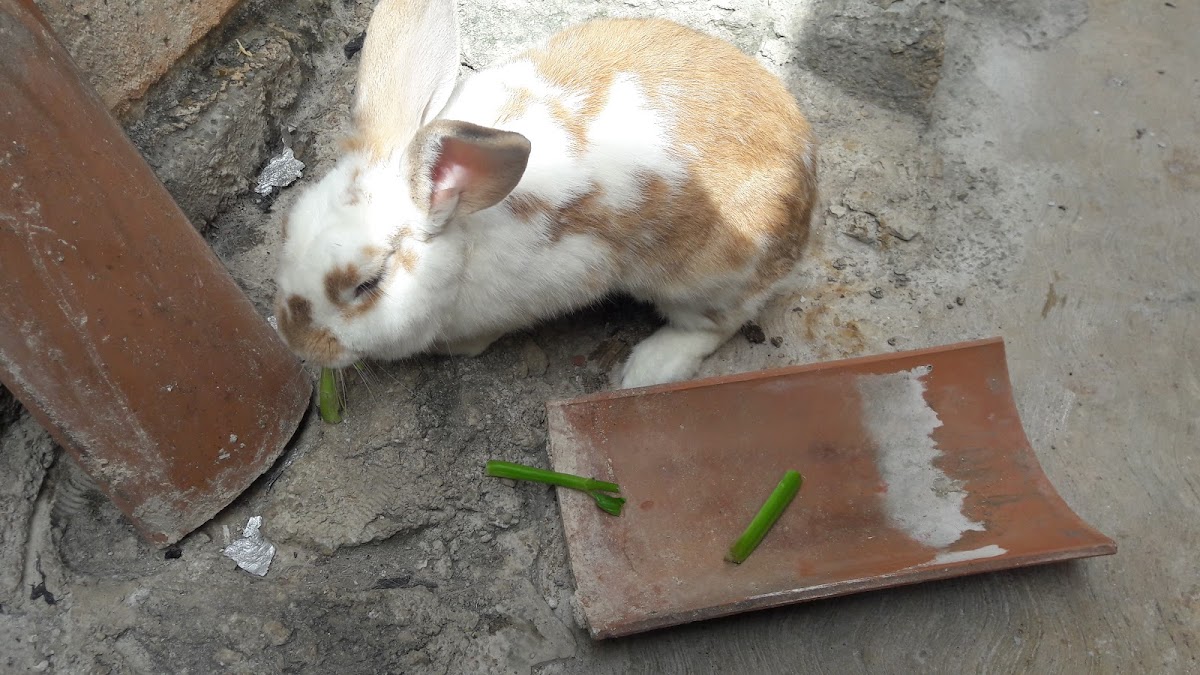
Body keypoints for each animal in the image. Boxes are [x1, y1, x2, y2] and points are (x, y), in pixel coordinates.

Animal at [273, 0, 820, 389]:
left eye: (367, 284)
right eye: (288, 229)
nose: (295, 343)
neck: (464, 239)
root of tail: (808, 173)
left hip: (704, 279)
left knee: (715, 324)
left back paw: (647, 369)